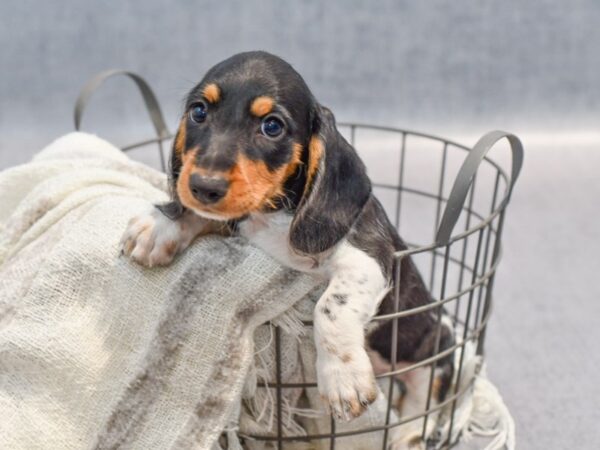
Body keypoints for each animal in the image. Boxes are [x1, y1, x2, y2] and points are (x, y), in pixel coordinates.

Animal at [119, 51, 452, 444]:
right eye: (199, 112)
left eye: (272, 126)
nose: (203, 186)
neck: (273, 217)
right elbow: (200, 216)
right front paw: (160, 226)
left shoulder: (368, 257)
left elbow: (330, 307)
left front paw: (343, 380)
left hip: (432, 349)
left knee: (430, 394)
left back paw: (410, 432)